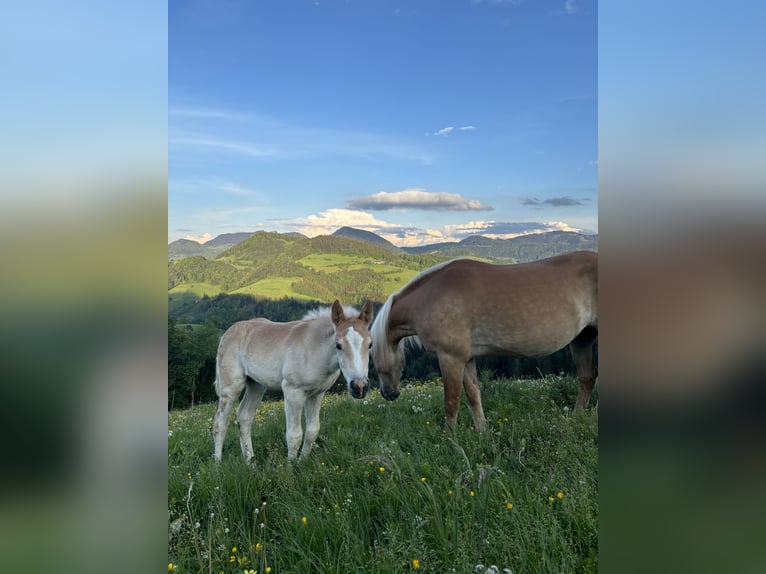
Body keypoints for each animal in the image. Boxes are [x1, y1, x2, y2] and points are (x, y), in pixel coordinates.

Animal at [213, 302, 376, 464]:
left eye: (370, 344)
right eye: (338, 345)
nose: (360, 387)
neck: (313, 348)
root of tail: (226, 334)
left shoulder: (317, 394)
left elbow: (312, 431)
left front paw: (302, 462)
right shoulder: (293, 392)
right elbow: (294, 435)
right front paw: (290, 467)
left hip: (256, 385)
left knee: (244, 417)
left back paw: (250, 462)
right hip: (232, 387)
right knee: (220, 423)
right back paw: (218, 463)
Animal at [372, 254, 600, 430]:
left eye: (372, 358)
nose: (388, 394)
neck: (430, 298)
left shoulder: (450, 358)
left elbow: (451, 400)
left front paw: (450, 437)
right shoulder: (466, 358)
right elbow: (473, 394)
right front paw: (482, 430)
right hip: (582, 339)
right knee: (587, 377)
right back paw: (576, 417)